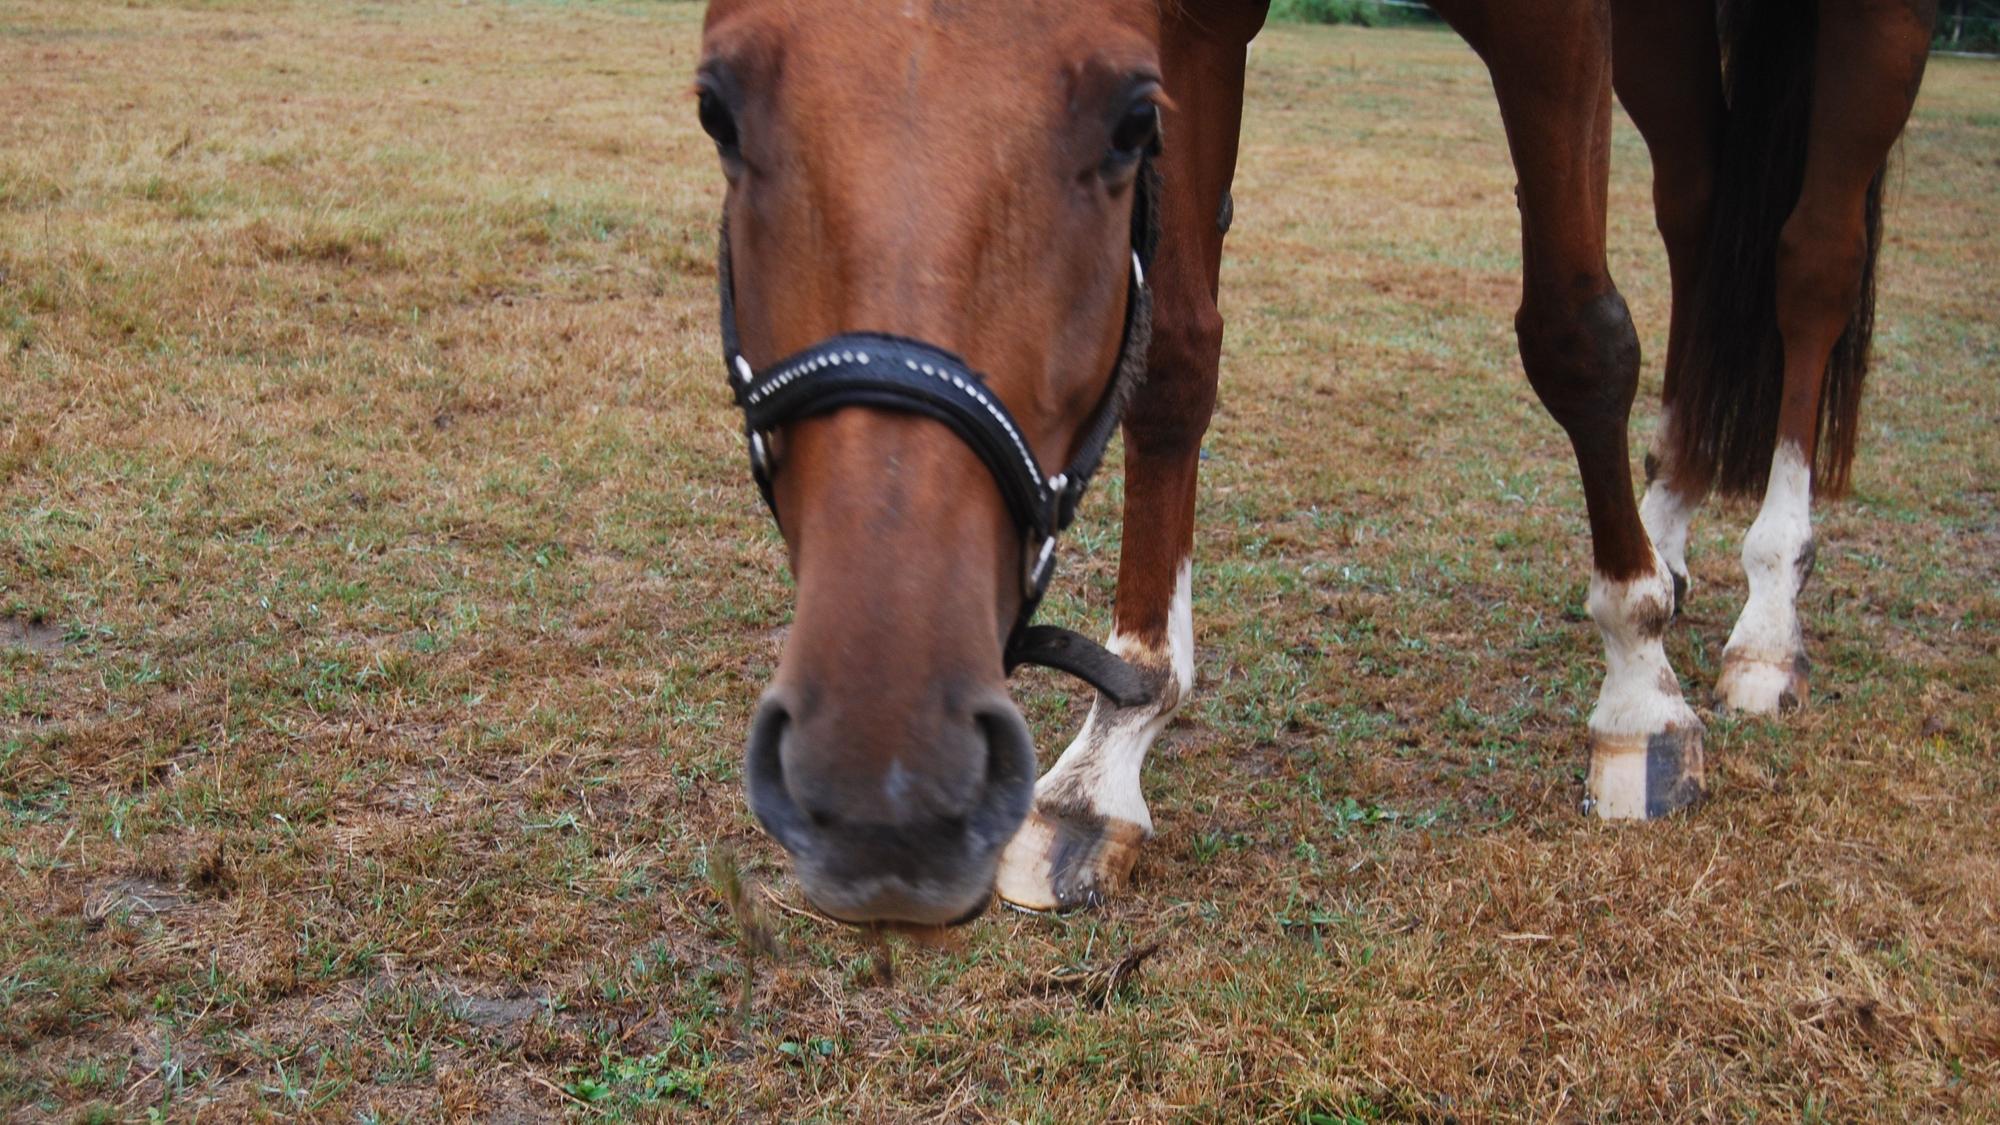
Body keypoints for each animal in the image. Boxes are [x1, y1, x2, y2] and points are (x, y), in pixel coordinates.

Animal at [695, 0, 1937, 925]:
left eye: (1126, 125)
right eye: (715, 109)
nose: (885, 785)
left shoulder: (1547, 20)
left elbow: (1576, 337)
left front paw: (1639, 691)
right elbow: (1174, 356)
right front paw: (1111, 750)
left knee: (1807, 259)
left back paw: (1765, 614)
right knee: (1698, 213)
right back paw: (1671, 525)